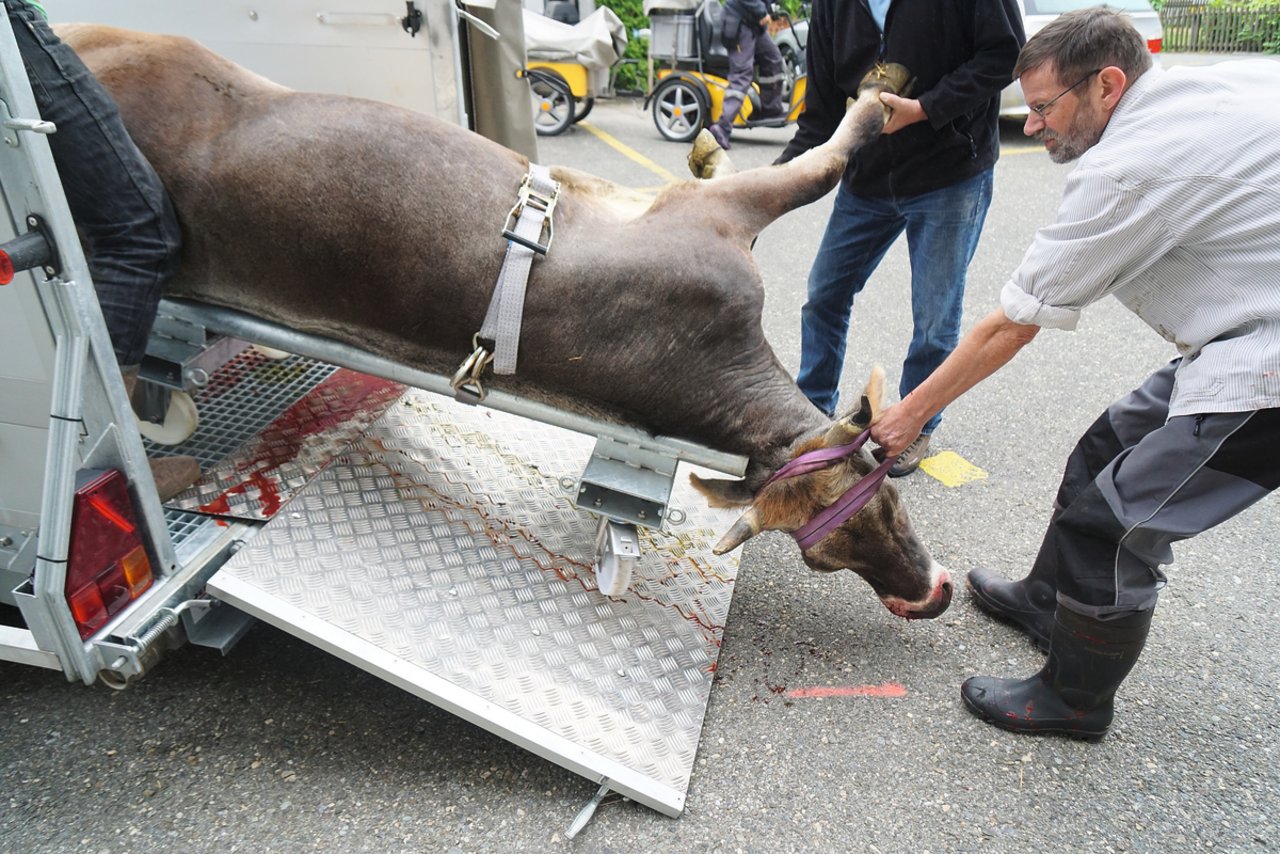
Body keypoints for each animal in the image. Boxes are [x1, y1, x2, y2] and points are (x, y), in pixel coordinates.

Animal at [64, 23, 957, 617]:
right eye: (854, 530)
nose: (930, 597)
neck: (718, 373)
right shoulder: (714, 219)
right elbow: (828, 160)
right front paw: (880, 85)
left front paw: (707, 138)